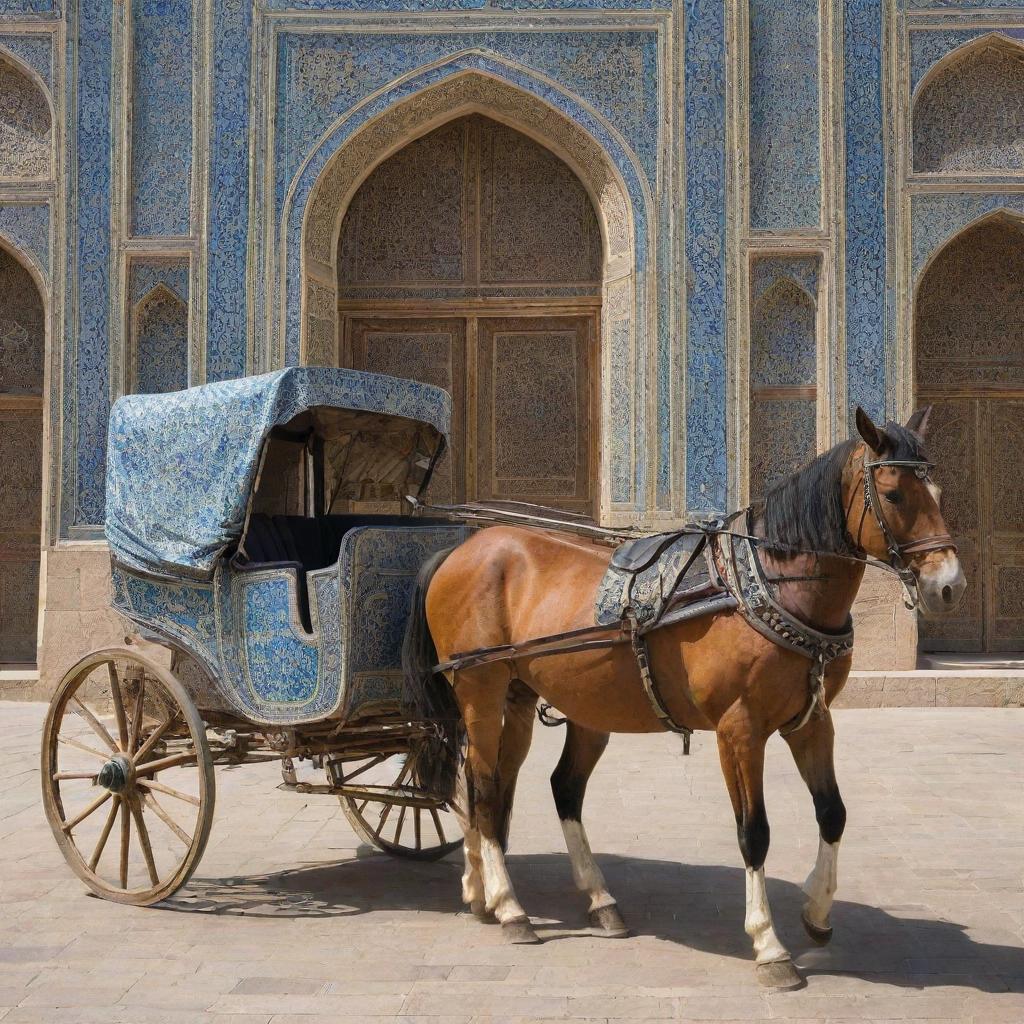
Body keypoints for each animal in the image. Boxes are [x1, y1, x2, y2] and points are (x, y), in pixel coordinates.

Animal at [401, 403, 966, 987]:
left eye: (939, 491)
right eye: (894, 495)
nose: (948, 585)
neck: (769, 584)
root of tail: (462, 549)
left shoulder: (813, 719)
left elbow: (833, 813)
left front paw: (816, 912)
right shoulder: (739, 728)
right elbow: (754, 832)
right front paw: (769, 945)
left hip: (539, 696)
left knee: (542, 787)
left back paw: (548, 897)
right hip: (479, 690)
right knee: (485, 788)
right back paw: (510, 907)